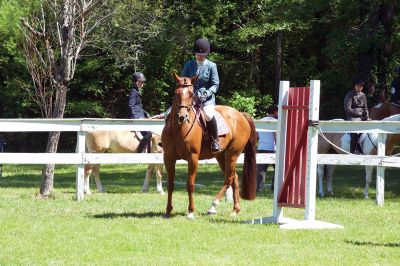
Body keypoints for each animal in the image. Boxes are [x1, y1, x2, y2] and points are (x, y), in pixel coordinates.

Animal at [162, 72, 258, 218]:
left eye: (191, 93)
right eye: (176, 92)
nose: (182, 117)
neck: (178, 129)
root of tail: (240, 115)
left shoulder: (193, 158)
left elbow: (190, 184)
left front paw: (191, 212)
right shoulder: (168, 158)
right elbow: (170, 185)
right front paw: (168, 210)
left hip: (233, 154)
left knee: (228, 179)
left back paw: (213, 206)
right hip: (221, 156)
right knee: (234, 178)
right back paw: (235, 210)